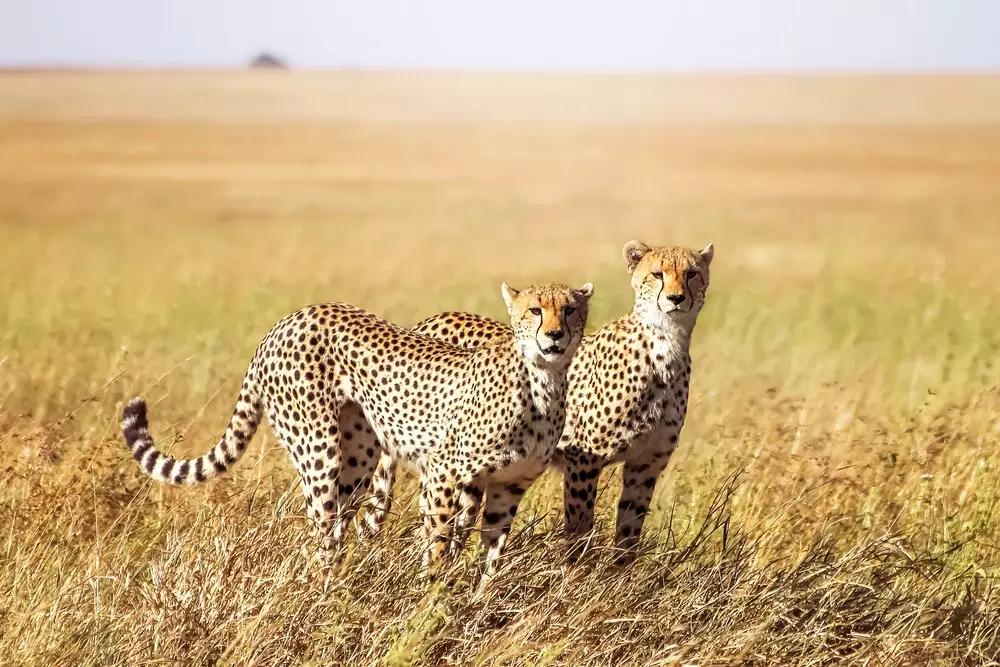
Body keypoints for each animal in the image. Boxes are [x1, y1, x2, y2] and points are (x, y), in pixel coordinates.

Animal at [120, 281, 593, 578]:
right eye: (535, 309)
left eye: (570, 309)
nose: (554, 335)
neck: (543, 380)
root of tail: (288, 320)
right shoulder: (443, 473)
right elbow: (439, 545)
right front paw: (433, 601)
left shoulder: (507, 487)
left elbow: (490, 557)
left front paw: (479, 602)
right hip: (318, 449)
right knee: (322, 530)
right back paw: (327, 591)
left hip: (360, 457)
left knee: (341, 522)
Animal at [357, 241, 713, 560]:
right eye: (657, 273)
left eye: (692, 273)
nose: (676, 298)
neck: (665, 347)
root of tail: (433, 319)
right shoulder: (583, 459)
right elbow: (580, 526)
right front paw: (578, 574)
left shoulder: (646, 464)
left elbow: (629, 535)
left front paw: (619, 579)